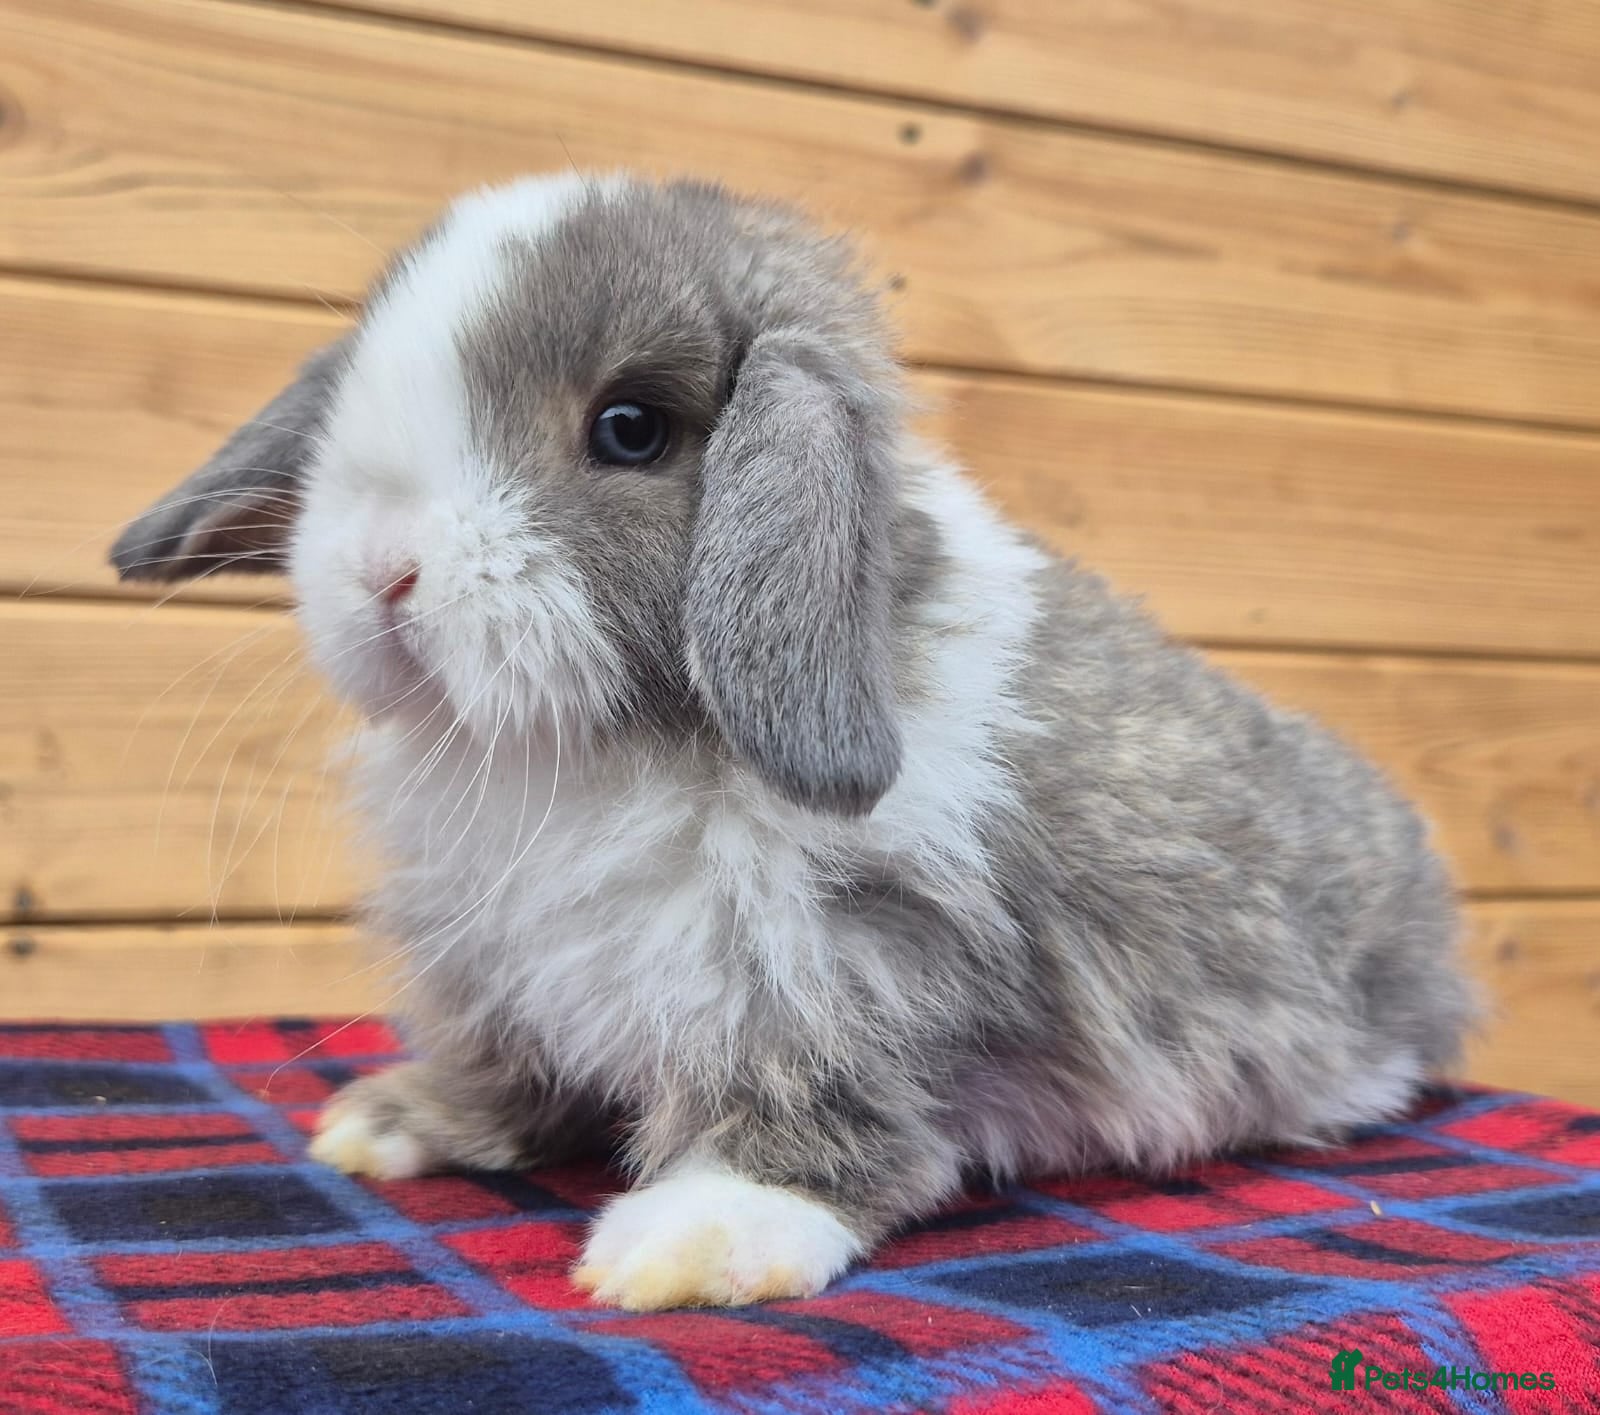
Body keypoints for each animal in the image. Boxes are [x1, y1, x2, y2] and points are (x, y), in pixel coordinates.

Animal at [112, 172, 1478, 1311]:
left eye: (629, 428)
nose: (381, 571)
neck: (594, 752)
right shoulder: (496, 962)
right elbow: (501, 1063)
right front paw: (396, 1120)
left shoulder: (849, 962)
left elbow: (819, 1101)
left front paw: (697, 1238)